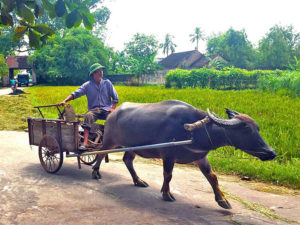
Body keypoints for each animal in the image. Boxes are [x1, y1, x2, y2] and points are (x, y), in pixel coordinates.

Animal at [92, 100, 276, 209]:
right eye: (246, 129)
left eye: (258, 128)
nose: (271, 152)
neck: (194, 131)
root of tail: (112, 114)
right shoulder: (168, 155)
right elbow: (168, 175)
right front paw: (166, 194)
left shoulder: (201, 157)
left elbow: (212, 177)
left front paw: (223, 200)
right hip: (109, 141)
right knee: (100, 154)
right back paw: (95, 172)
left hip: (131, 147)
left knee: (127, 160)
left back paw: (138, 181)